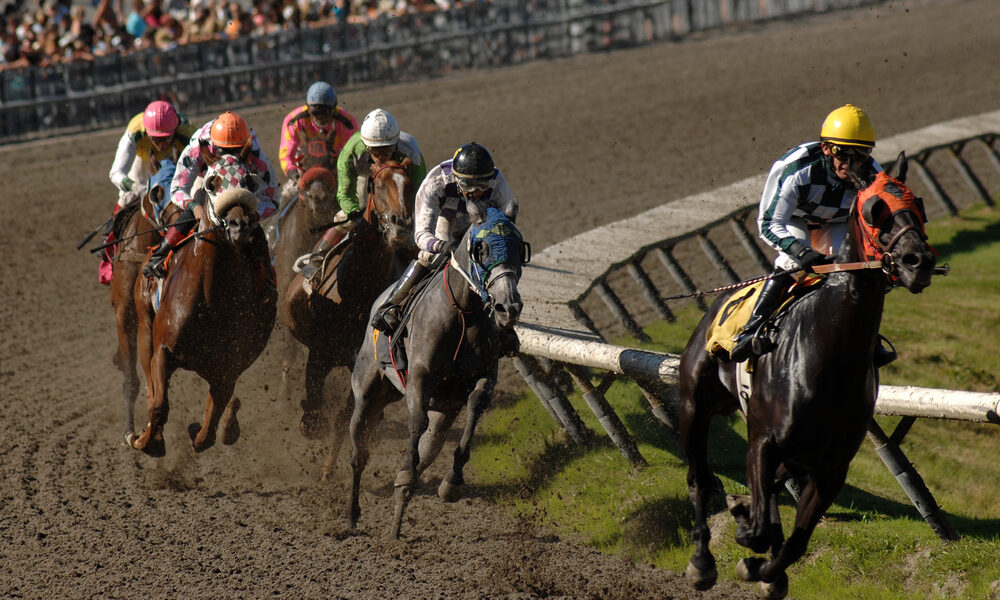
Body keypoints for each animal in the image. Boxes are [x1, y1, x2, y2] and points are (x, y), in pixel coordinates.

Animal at [129, 157, 277, 457]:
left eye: (249, 181)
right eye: (212, 182)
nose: (239, 225)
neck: (210, 297)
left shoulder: (228, 369)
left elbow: (206, 435)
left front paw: (201, 429)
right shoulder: (163, 350)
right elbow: (159, 405)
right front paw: (146, 441)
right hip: (145, 324)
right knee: (150, 383)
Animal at [282, 159, 417, 475]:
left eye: (408, 185)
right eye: (378, 185)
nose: (400, 225)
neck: (358, 290)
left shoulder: (364, 363)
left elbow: (346, 417)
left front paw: (328, 469)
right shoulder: (321, 351)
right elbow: (314, 395)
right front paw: (310, 422)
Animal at [346, 206, 528, 539]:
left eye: (518, 248)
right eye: (482, 249)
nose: (508, 308)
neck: (463, 311)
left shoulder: (484, 376)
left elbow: (475, 407)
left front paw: (450, 483)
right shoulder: (420, 377)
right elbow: (415, 424)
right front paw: (405, 480)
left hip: (441, 409)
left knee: (430, 446)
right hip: (367, 393)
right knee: (358, 453)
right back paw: (353, 514)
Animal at [677, 154, 937, 600]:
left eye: (918, 204)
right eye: (875, 209)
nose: (917, 261)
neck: (829, 355)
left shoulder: (832, 469)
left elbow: (795, 543)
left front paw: (765, 570)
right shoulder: (763, 442)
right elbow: (758, 528)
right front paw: (745, 537)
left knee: (770, 488)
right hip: (694, 404)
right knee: (700, 479)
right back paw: (702, 562)